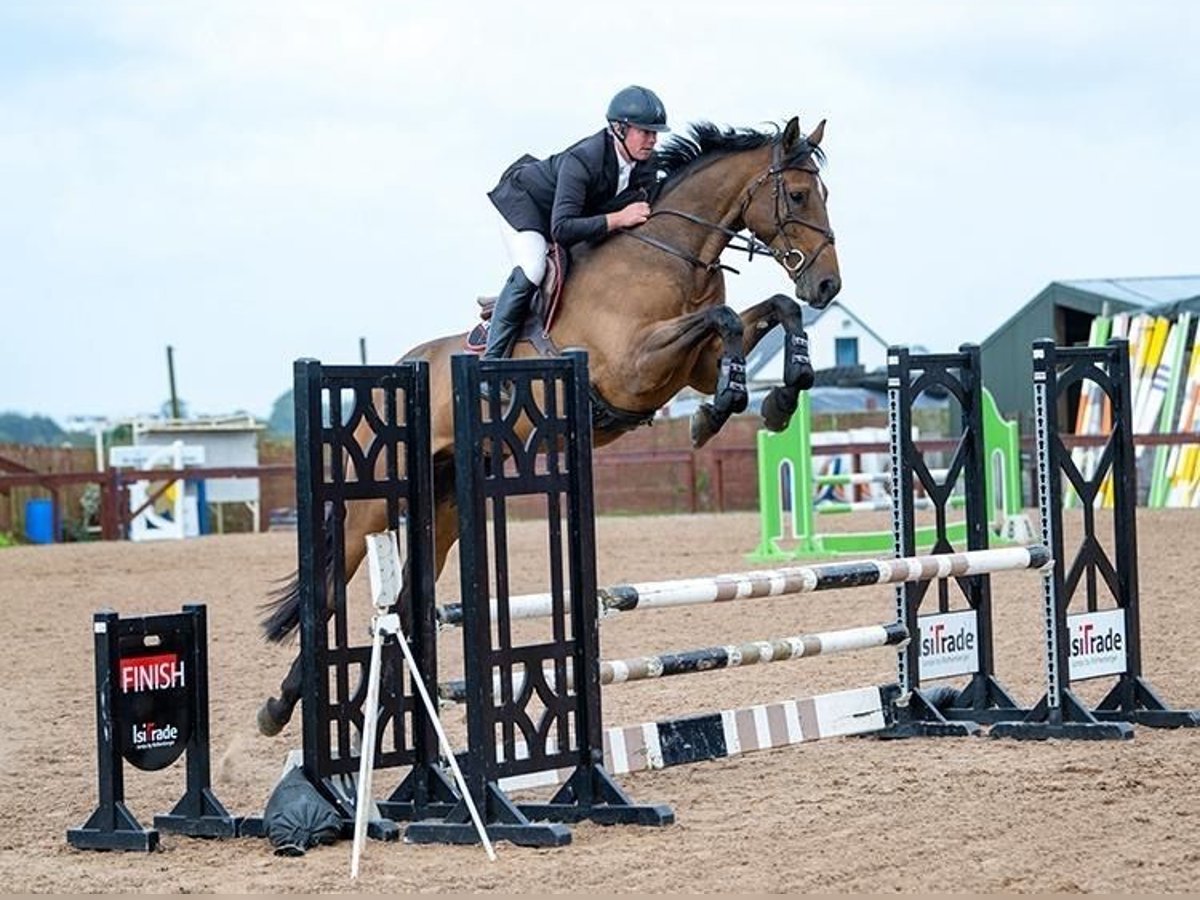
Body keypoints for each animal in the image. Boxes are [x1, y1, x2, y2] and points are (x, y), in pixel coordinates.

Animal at [260, 112, 844, 734]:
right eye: (799, 195)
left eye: (823, 194)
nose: (828, 286)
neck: (672, 255)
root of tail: (397, 372)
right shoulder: (633, 366)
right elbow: (728, 317)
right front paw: (724, 408)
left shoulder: (694, 365)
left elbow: (775, 310)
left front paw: (775, 395)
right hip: (369, 504)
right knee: (328, 592)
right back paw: (278, 707)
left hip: (444, 509)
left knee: (406, 600)